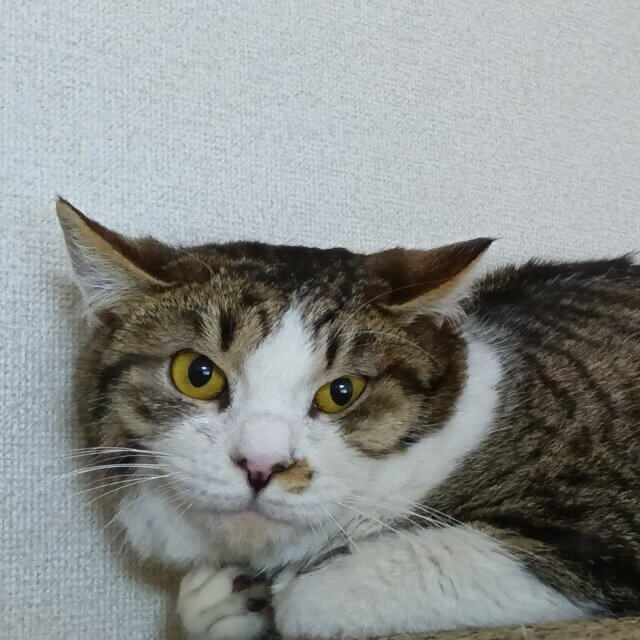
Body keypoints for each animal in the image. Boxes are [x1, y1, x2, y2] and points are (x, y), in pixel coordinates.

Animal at [57, 197, 640, 640]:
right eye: (198, 374)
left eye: (342, 392)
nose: (261, 465)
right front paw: (226, 600)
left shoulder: (600, 529)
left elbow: (316, 598)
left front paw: (280, 597)